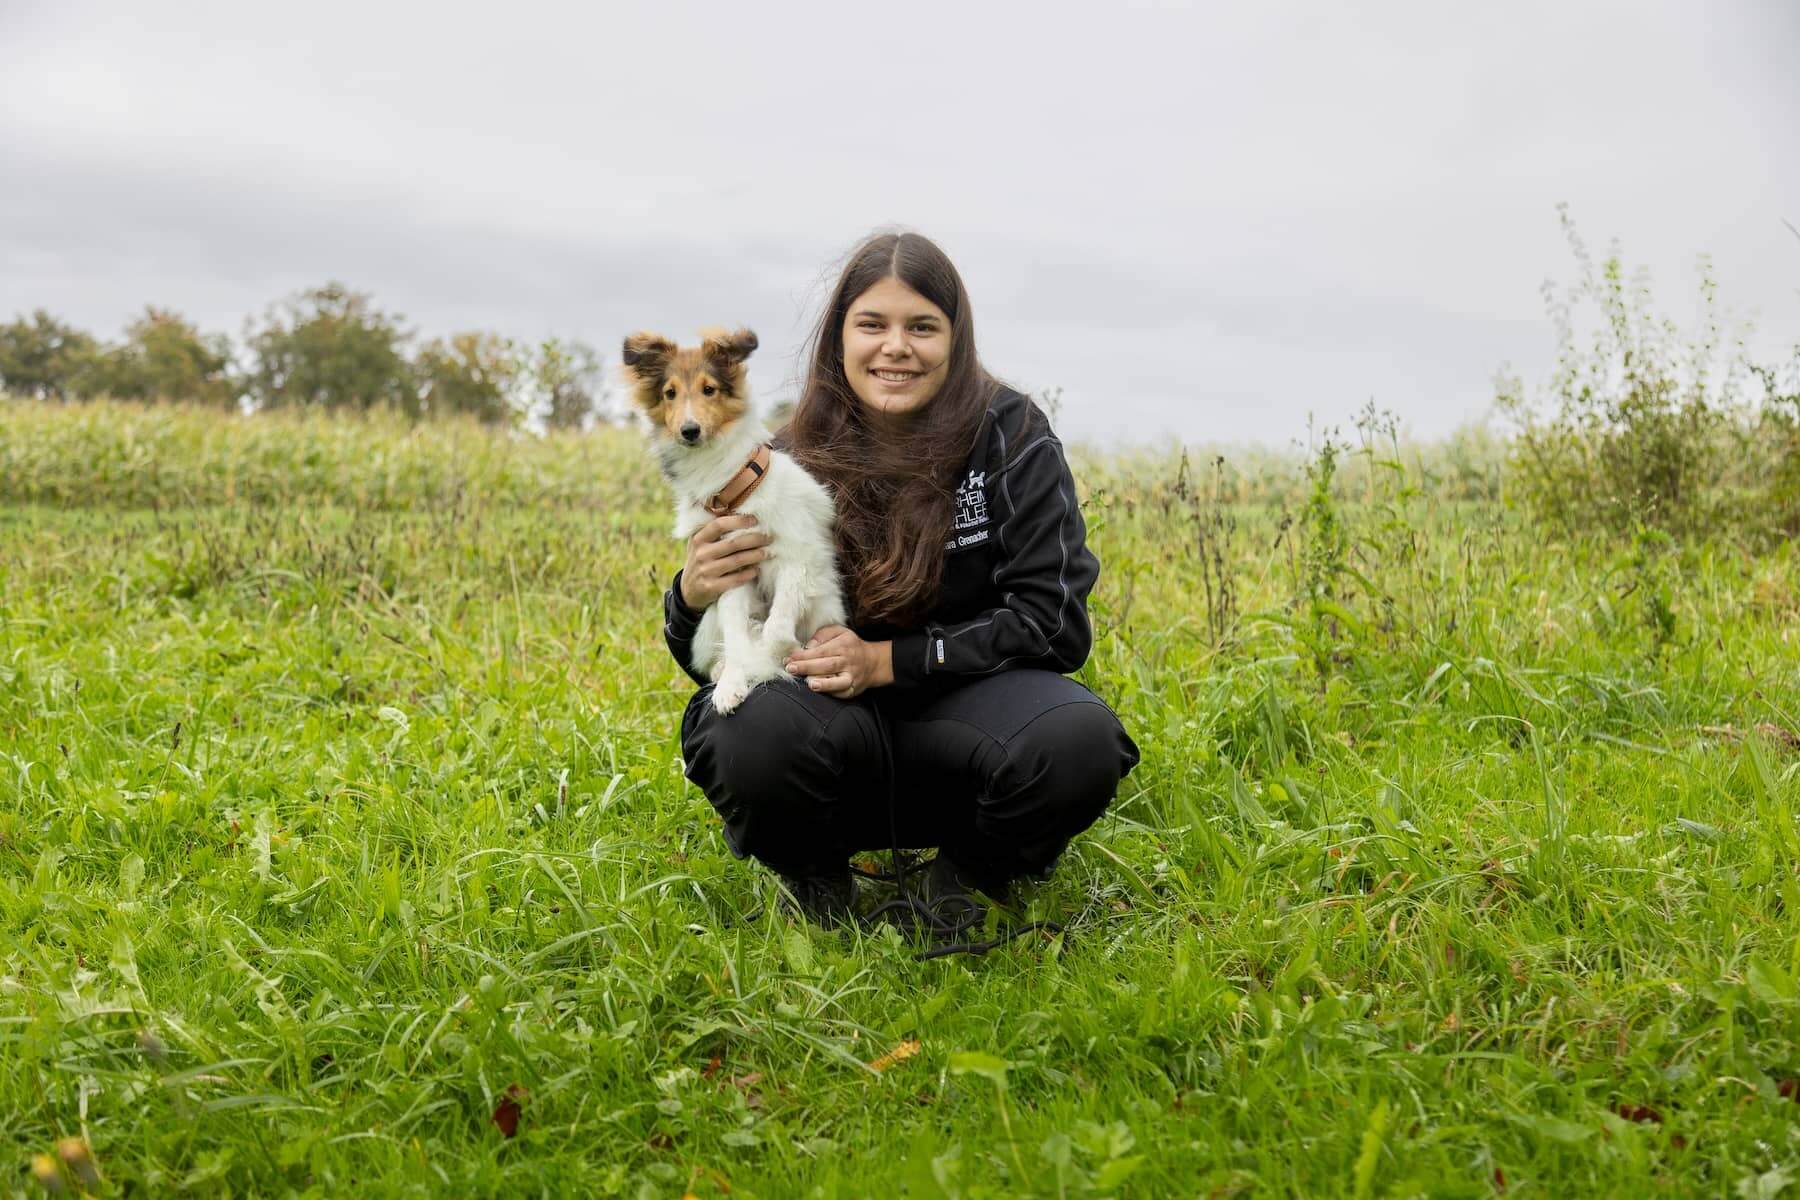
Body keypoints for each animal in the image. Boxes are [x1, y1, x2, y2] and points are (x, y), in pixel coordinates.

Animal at [622, 329, 846, 712]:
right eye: (670, 393)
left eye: (709, 389)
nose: (689, 430)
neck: (734, 492)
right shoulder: (730, 572)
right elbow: (739, 636)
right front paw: (733, 682)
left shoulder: (798, 558)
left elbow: (777, 628)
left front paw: (783, 655)